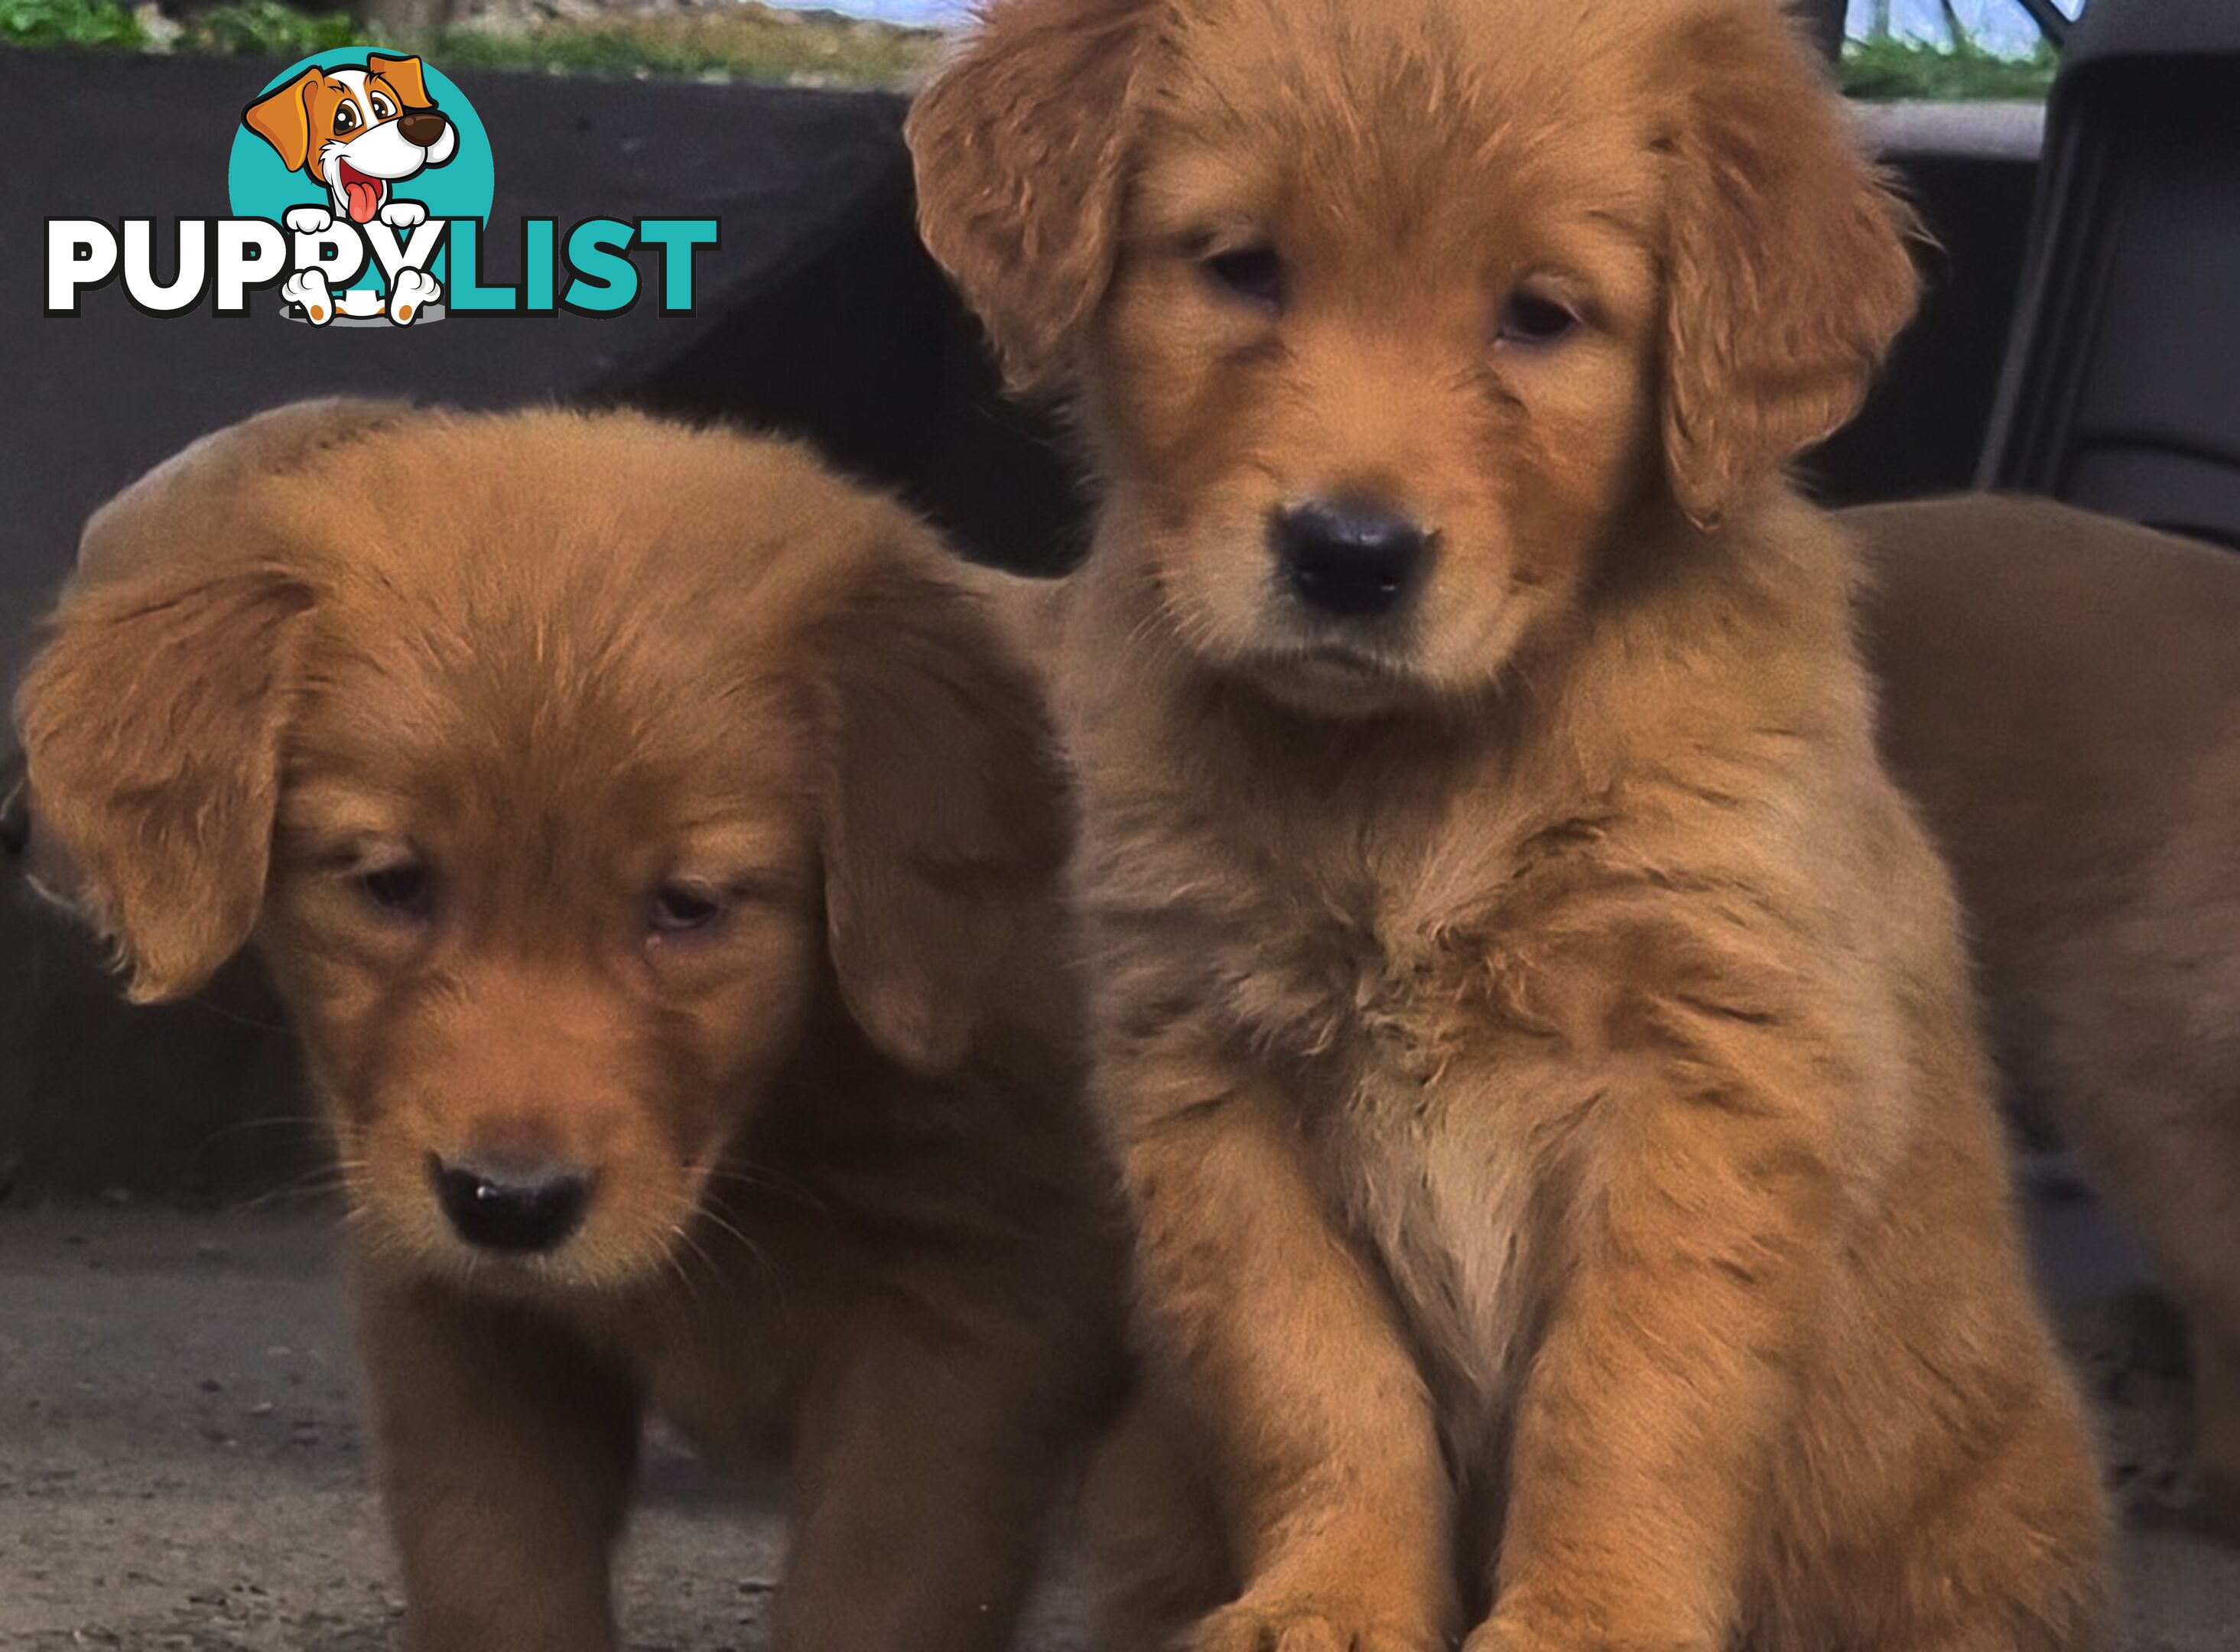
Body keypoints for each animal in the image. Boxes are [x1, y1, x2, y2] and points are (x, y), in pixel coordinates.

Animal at [19, 398, 1129, 1650]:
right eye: (393, 883)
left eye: (687, 906)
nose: (508, 1203)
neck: (767, 1135)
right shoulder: (461, 1323)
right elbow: (495, 1573)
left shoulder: (968, 1336)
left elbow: (873, 1594)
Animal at [900, 3, 2105, 1650]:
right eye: (1243, 266)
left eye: (1540, 317)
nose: (1348, 556)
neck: (1417, 772)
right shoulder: (1207, 1083)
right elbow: (1314, 1378)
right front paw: (1330, 1597)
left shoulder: (1715, 1078)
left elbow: (1626, 1397)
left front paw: (1590, 1616)